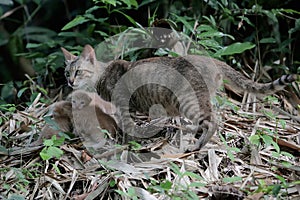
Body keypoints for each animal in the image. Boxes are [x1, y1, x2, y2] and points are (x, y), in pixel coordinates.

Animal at [61, 44, 298, 151]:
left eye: (78, 72)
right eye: (66, 72)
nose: (70, 82)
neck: (102, 74)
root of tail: (212, 60)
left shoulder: (123, 105)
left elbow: (127, 129)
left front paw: (126, 144)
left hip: (188, 101)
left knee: (214, 121)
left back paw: (197, 146)